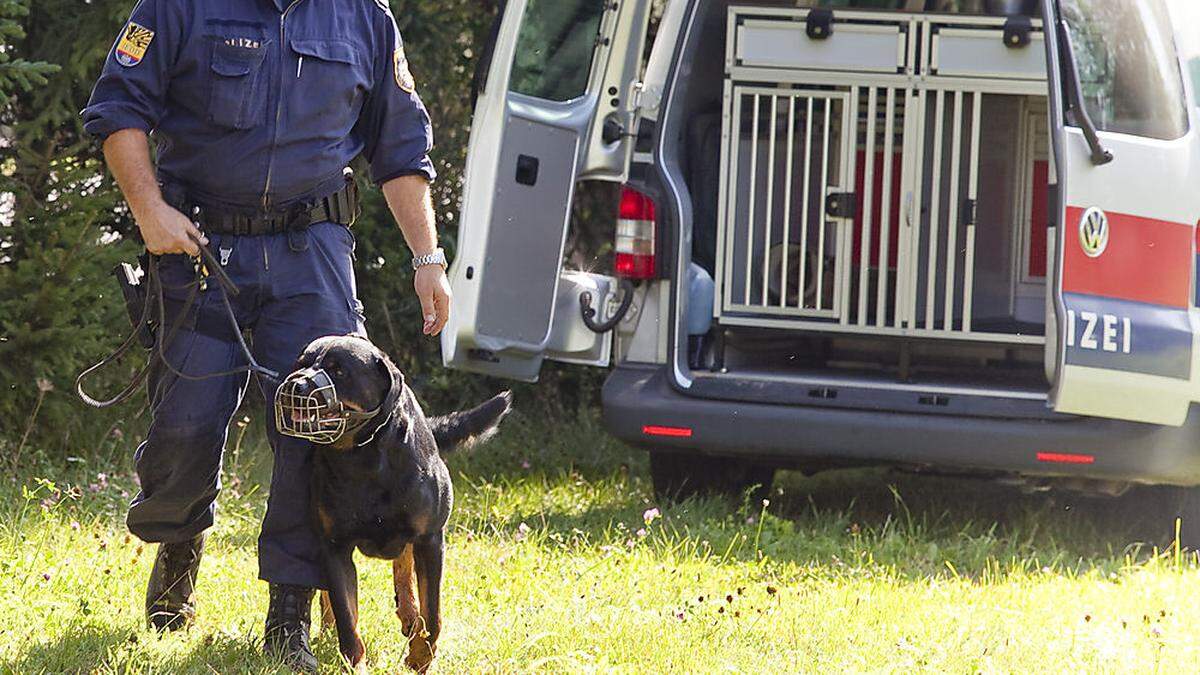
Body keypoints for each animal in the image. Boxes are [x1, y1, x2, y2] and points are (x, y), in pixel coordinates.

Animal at [278, 333, 513, 667]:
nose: (296, 385)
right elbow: (347, 617)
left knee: (404, 567)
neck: (361, 456)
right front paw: (355, 664)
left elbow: (434, 612)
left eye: (338, 371)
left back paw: (410, 615)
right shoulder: (334, 546)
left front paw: (421, 655)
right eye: (300, 364)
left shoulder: (430, 539)